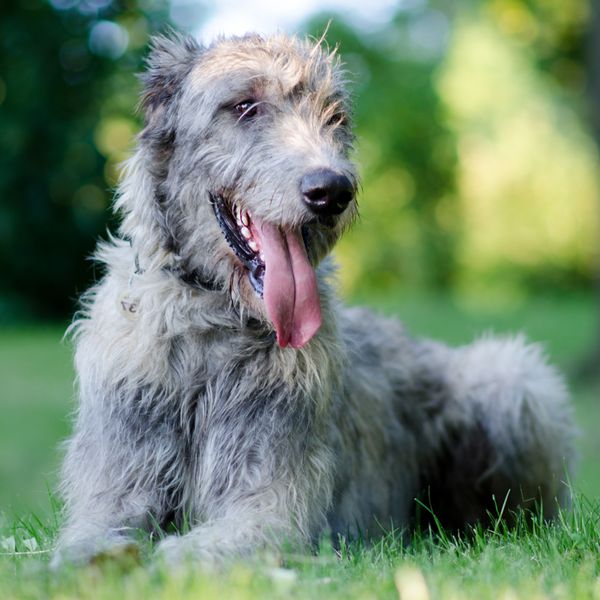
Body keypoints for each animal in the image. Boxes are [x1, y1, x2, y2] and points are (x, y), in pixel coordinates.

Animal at [52, 32, 576, 568]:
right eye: (244, 106)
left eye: (335, 117)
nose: (332, 191)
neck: (213, 321)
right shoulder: (120, 470)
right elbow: (86, 535)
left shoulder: (273, 501)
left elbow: (215, 544)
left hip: (510, 379)